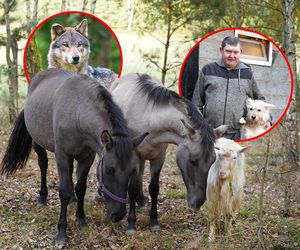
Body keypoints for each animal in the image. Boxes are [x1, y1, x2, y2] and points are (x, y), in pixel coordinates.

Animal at [0, 68, 146, 246]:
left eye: (132, 171)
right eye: (109, 170)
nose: (118, 216)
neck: (77, 113)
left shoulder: (87, 158)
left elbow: (80, 187)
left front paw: (81, 219)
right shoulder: (63, 155)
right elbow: (63, 192)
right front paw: (62, 232)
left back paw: (72, 199)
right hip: (38, 144)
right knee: (43, 165)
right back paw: (42, 198)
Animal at [105, 73, 220, 233]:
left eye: (212, 161)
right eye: (193, 161)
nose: (197, 203)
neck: (150, 119)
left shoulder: (159, 157)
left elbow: (154, 188)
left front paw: (154, 221)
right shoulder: (134, 155)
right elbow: (132, 188)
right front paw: (131, 223)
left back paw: (141, 201)